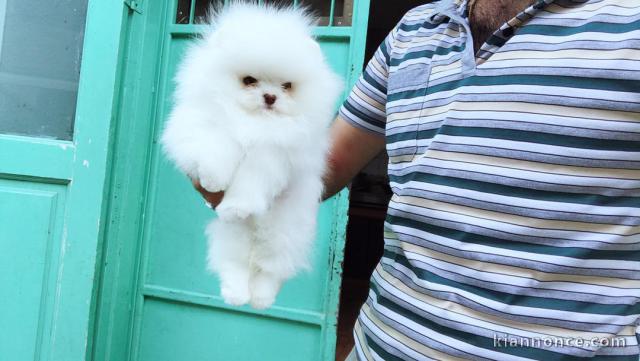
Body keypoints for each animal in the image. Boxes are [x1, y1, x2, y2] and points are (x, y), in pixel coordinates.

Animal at [160, 2, 344, 308]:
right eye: (249, 81)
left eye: (287, 86)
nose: (270, 97)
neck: (254, 123)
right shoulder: (208, 125)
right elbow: (216, 148)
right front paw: (212, 180)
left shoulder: (271, 156)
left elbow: (250, 182)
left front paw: (236, 207)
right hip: (231, 238)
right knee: (234, 265)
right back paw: (236, 295)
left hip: (284, 237)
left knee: (271, 272)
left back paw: (260, 299)